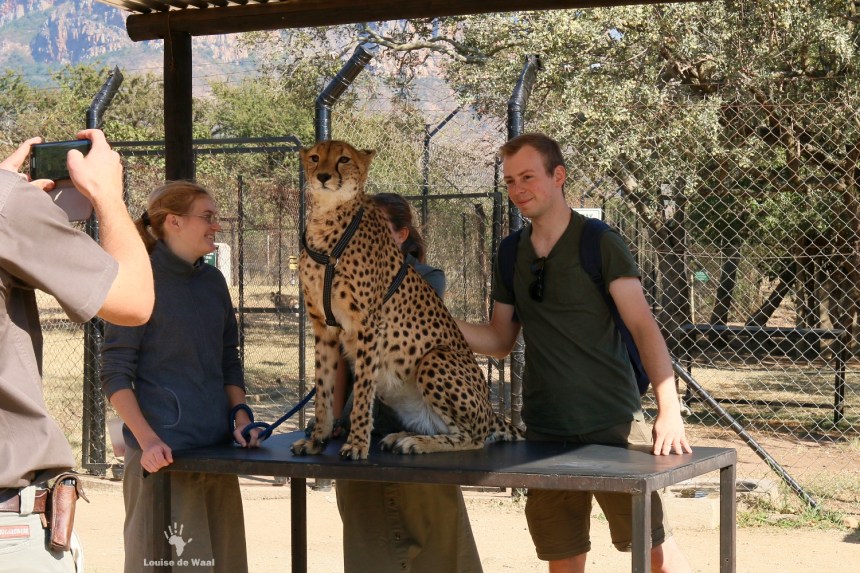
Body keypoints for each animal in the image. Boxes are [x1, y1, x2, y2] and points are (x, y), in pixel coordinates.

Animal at [290, 140, 523, 460]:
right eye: (314, 158)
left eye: (344, 160)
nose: (323, 176)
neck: (327, 221)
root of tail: (491, 411)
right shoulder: (324, 327)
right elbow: (323, 388)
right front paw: (317, 440)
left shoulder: (368, 326)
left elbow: (362, 393)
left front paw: (357, 444)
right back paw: (402, 436)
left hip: (435, 358)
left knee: (475, 437)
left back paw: (416, 443)